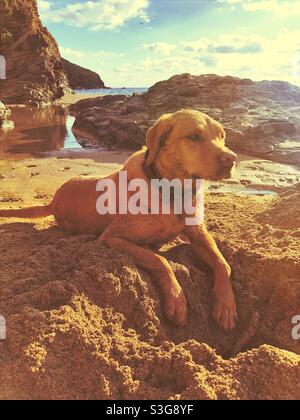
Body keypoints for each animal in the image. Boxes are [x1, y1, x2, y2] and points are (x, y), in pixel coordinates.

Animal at [0, 109, 239, 332]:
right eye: (193, 136)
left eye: (222, 136)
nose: (231, 159)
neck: (170, 192)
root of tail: (54, 200)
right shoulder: (113, 237)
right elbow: (160, 260)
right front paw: (176, 298)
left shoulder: (198, 231)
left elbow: (223, 263)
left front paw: (226, 304)